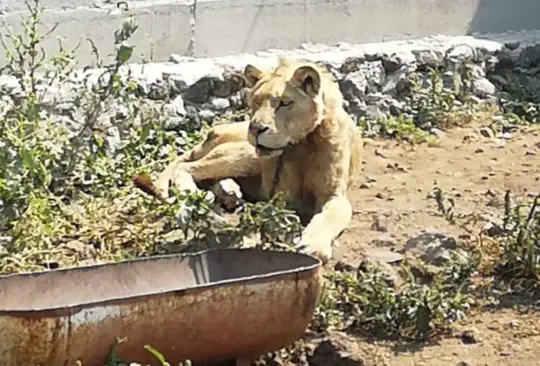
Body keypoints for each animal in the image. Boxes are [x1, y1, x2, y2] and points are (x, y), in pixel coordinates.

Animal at [153, 57, 362, 264]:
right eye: (256, 101)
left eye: (285, 103)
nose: (255, 129)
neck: (301, 145)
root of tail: (212, 132)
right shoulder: (280, 197)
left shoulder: (334, 195)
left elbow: (327, 218)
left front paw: (312, 245)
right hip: (247, 154)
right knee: (186, 166)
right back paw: (198, 194)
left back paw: (229, 193)